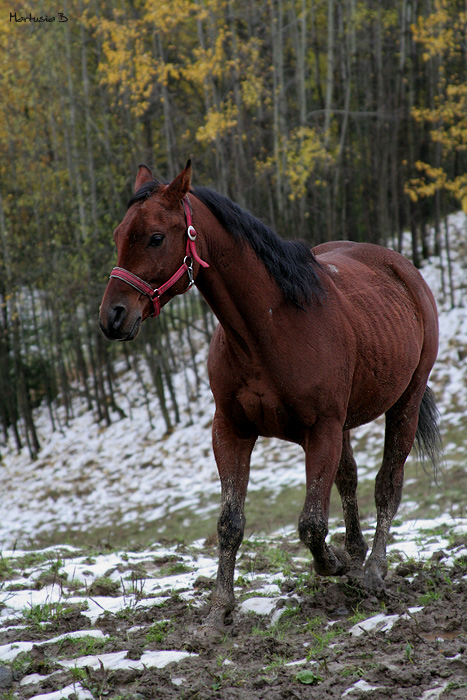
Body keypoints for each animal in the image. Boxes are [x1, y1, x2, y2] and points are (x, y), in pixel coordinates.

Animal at [99, 161, 442, 636]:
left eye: (155, 237)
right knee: (349, 479)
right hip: (346, 424)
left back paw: (372, 571)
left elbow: (311, 524)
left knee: (387, 484)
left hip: (405, 402)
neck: (269, 328)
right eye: (118, 235)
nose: (112, 317)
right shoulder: (231, 430)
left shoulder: (321, 431)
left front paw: (333, 562)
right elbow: (230, 522)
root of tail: (402, 269)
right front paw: (218, 610)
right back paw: (356, 557)